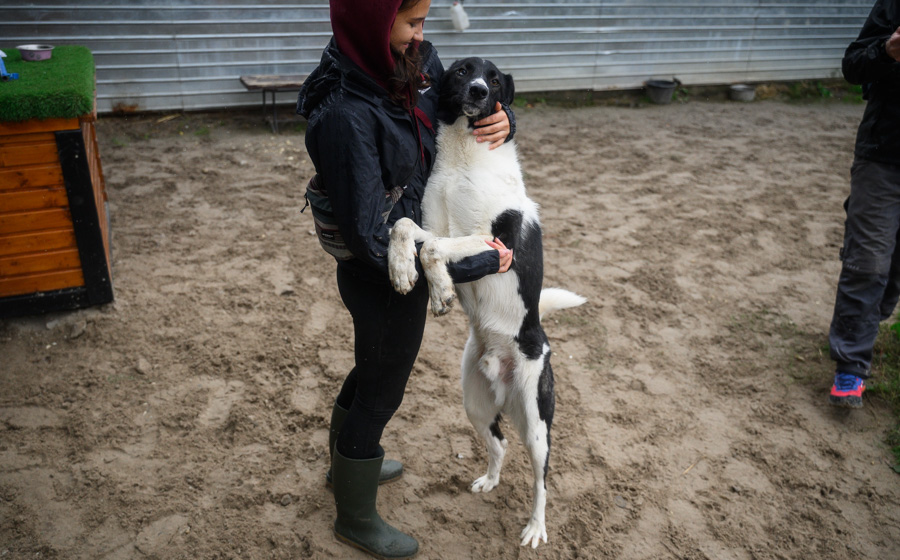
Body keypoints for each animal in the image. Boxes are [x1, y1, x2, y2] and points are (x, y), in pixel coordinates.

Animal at [388, 57, 586, 548]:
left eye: (494, 80)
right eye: (462, 71)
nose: (478, 91)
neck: (463, 155)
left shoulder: (495, 244)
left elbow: (432, 248)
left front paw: (438, 287)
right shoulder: (434, 223)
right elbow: (405, 228)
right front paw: (402, 270)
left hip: (537, 422)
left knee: (542, 479)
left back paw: (535, 528)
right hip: (475, 405)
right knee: (499, 444)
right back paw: (490, 480)